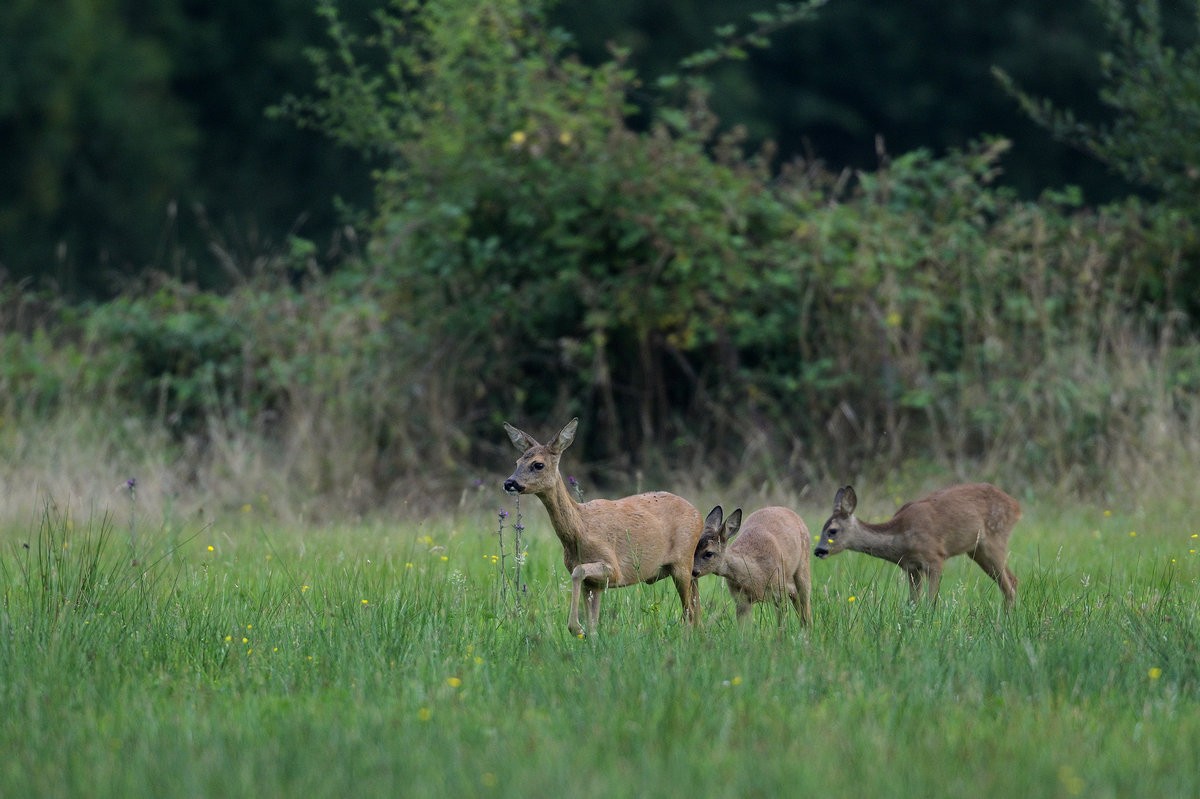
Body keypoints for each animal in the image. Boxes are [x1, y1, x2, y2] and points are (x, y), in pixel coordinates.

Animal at [504, 417, 705, 633]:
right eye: (517, 462)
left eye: (538, 464)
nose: (509, 483)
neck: (580, 531)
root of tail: (698, 514)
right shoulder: (594, 584)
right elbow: (593, 623)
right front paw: (585, 633)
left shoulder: (614, 569)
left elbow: (578, 571)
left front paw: (576, 628)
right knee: (696, 609)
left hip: (682, 563)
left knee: (689, 612)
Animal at [811, 482, 1017, 607]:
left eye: (832, 531)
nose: (818, 550)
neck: (901, 536)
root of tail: (1016, 506)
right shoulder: (911, 567)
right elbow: (913, 602)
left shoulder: (935, 557)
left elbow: (931, 600)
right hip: (977, 551)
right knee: (1012, 581)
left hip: (994, 540)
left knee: (1010, 585)